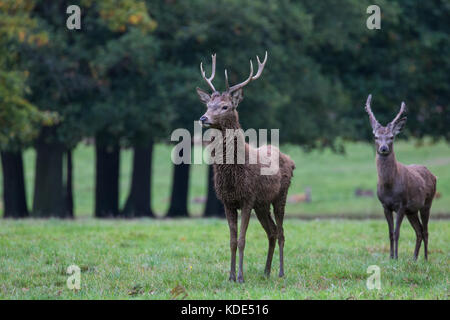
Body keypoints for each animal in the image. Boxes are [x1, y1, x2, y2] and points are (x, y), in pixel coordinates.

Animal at [194, 53, 294, 282]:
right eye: (208, 104)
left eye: (225, 106)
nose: (203, 118)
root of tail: (291, 160)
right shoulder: (227, 202)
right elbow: (231, 240)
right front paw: (230, 276)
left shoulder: (247, 198)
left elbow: (242, 240)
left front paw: (240, 276)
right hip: (262, 204)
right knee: (271, 232)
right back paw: (266, 271)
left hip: (280, 196)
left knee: (281, 232)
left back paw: (281, 272)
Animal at [366, 95, 436, 260]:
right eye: (375, 136)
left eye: (392, 137)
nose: (383, 148)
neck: (389, 186)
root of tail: (433, 174)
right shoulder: (385, 205)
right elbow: (390, 233)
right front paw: (391, 257)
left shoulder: (401, 204)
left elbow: (397, 232)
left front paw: (397, 257)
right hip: (412, 210)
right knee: (419, 231)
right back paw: (414, 258)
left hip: (427, 203)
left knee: (425, 231)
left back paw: (425, 258)